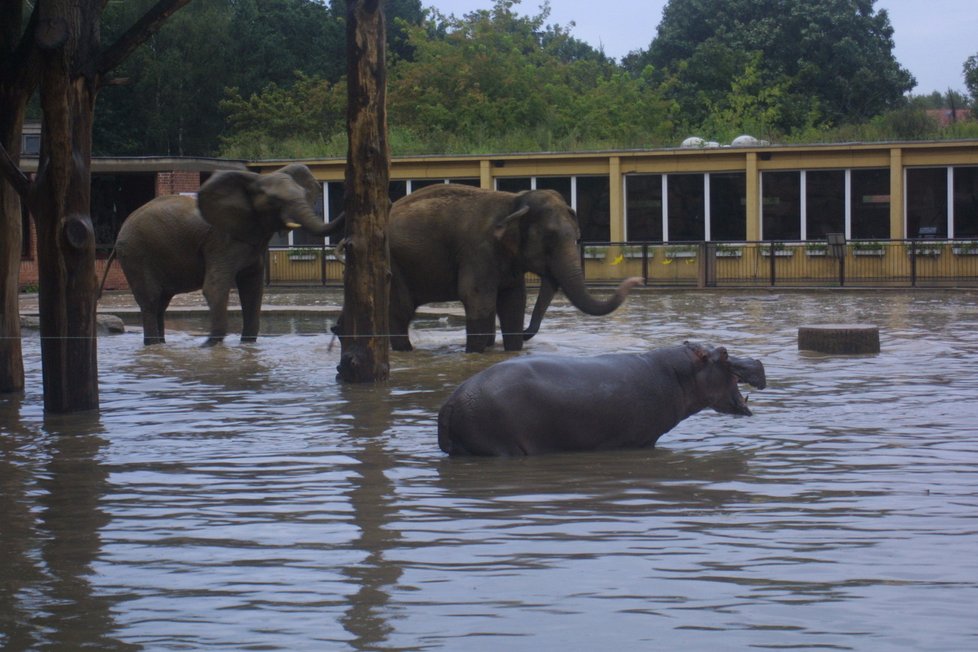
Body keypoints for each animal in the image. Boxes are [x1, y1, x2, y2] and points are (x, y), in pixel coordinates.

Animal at [113, 164, 344, 346]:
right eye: (273, 201)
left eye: (304, 195)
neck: (254, 182)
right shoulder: (220, 241)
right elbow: (215, 287)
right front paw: (209, 346)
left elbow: (253, 290)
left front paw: (247, 345)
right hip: (136, 254)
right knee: (151, 301)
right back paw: (153, 345)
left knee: (161, 303)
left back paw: (160, 345)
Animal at [386, 183, 644, 354]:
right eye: (549, 240)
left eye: (577, 237)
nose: (636, 281)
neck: (515, 201)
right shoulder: (478, 251)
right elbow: (479, 301)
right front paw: (475, 353)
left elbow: (513, 304)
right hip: (393, 265)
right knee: (400, 310)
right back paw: (405, 350)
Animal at [438, 342, 768, 458]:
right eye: (724, 353)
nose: (758, 360)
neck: (680, 374)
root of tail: (451, 400)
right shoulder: (641, 440)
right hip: (501, 447)